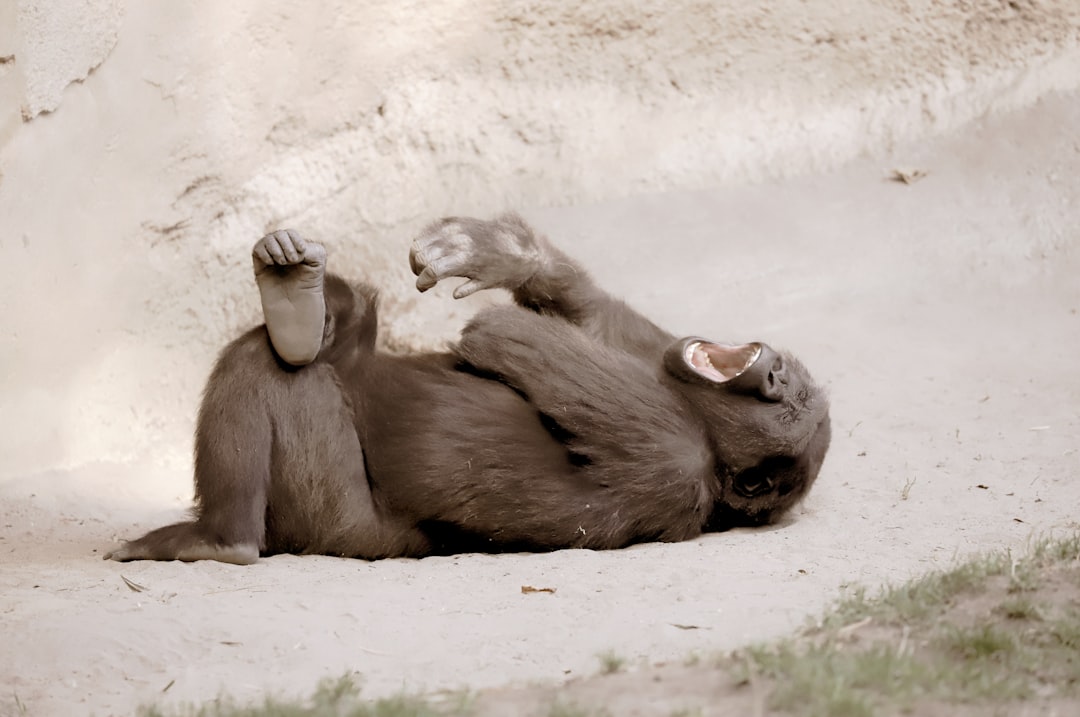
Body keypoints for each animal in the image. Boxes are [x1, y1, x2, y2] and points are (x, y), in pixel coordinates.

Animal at [105, 213, 829, 565]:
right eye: (790, 386)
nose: (772, 368)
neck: (700, 420)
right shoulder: (653, 354)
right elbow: (595, 318)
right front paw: (500, 251)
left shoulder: (675, 451)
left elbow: (502, 335)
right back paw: (299, 305)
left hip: (330, 520)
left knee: (270, 371)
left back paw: (218, 537)